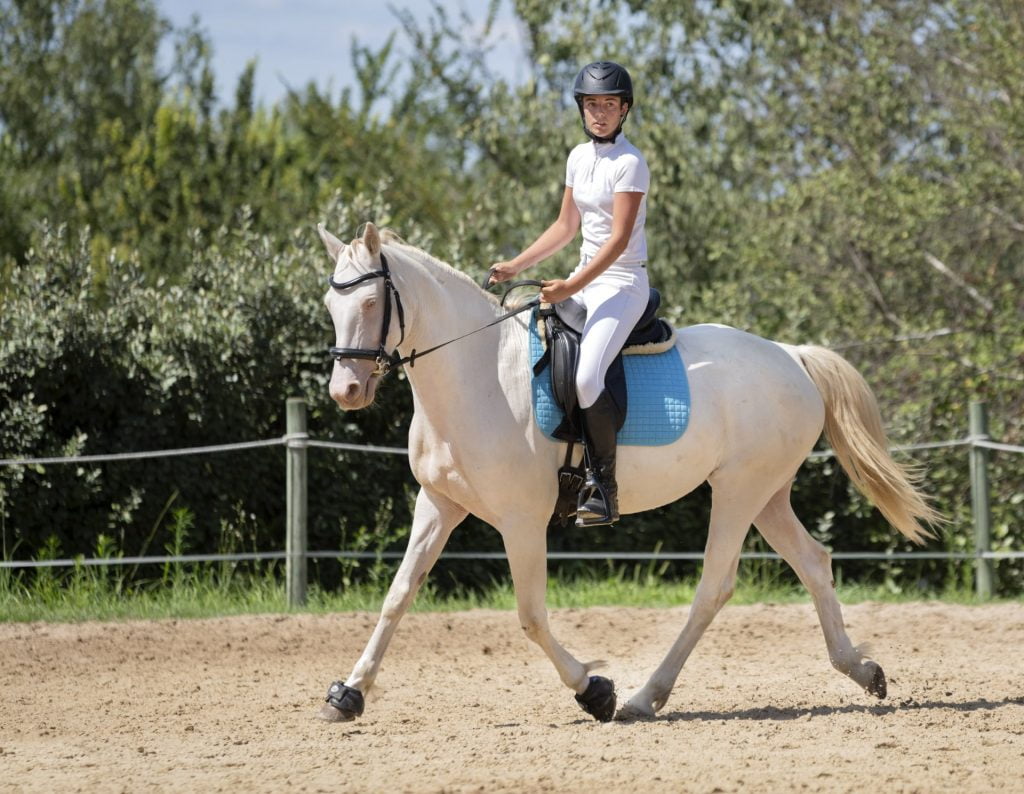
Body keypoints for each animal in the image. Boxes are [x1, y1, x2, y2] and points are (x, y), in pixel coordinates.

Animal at [317, 221, 940, 723]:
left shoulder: (521, 520)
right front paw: (348, 694)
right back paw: (862, 670)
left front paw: (594, 690)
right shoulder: (439, 504)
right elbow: (398, 595)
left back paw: (644, 697)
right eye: (330, 304)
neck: (479, 374)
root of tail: (792, 355)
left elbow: (531, 616)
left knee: (714, 586)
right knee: (813, 562)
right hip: (767, 494)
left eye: (371, 304)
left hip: (738, 490)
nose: (346, 391)